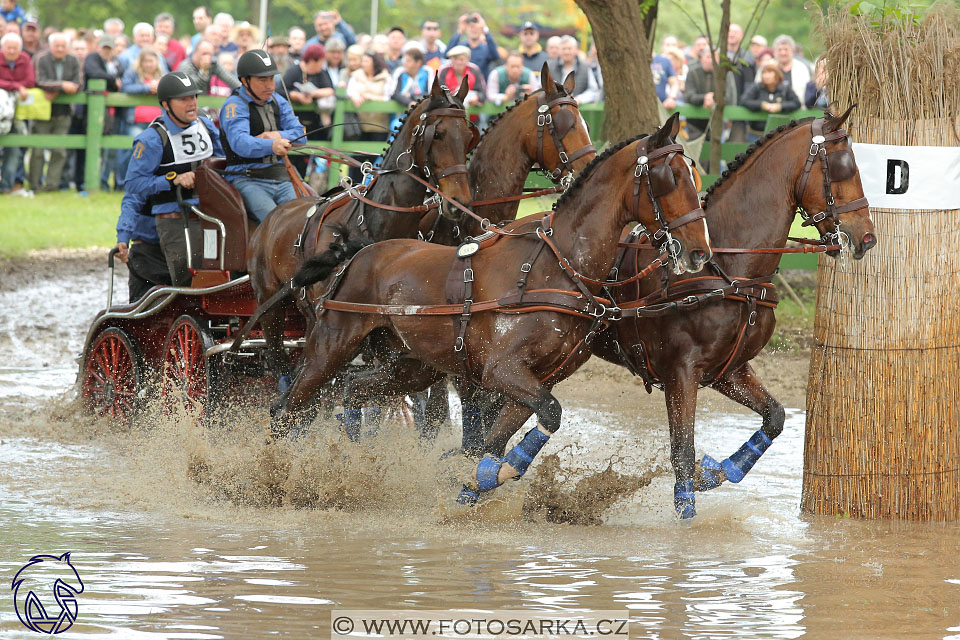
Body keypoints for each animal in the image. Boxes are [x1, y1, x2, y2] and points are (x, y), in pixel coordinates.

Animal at [246, 79, 474, 380]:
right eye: (437, 135)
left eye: (469, 136)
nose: (460, 204)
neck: (376, 222)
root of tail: (272, 217)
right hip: (271, 307)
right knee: (279, 361)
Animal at [272, 114, 712, 504]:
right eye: (671, 178)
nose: (699, 252)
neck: (556, 265)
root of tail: (358, 252)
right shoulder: (502, 371)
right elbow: (546, 414)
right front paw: (491, 475)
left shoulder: (534, 380)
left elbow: (499, 437)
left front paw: (477, 481)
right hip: (331, 348)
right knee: (287, 407)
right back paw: (271, 475)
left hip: (410, 366)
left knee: (352, 389)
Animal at [592, 107, 876, 516]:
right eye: (842, 167)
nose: (867, 236)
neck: (726, 268)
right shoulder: (681, 373)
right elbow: (682, 453)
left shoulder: (729, 370)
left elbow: (775, 417)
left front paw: (717, 471)